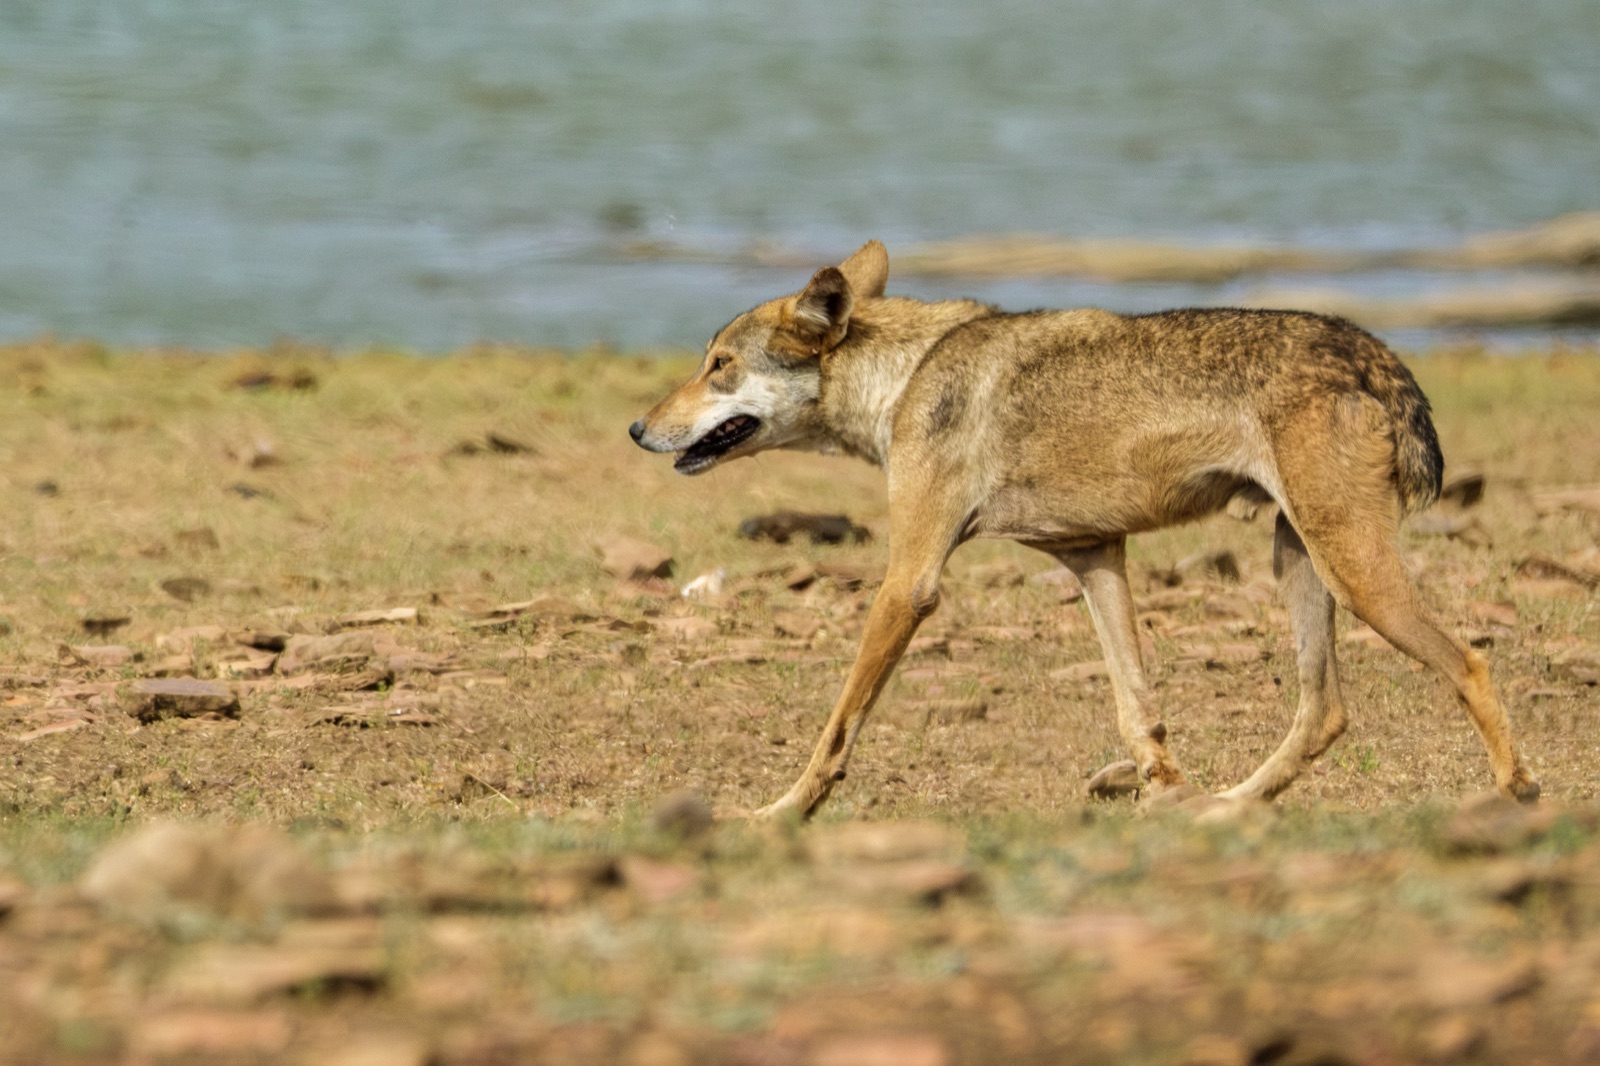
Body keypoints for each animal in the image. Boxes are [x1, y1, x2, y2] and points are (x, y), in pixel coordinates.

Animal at [629, 241, 1541, 820]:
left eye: (718, 365)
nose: (637, 429)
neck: (907, 378)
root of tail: (1378, 354)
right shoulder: (1093, 556)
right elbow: (1138, 708)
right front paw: (1164, 791)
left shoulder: (909, 583)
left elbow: (836, 725)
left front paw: (781, 812)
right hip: (1302, 564)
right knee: (1324, 714)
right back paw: (1223, 808)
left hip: (1351, 572)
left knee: (1469, 661)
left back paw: (1514, 794)